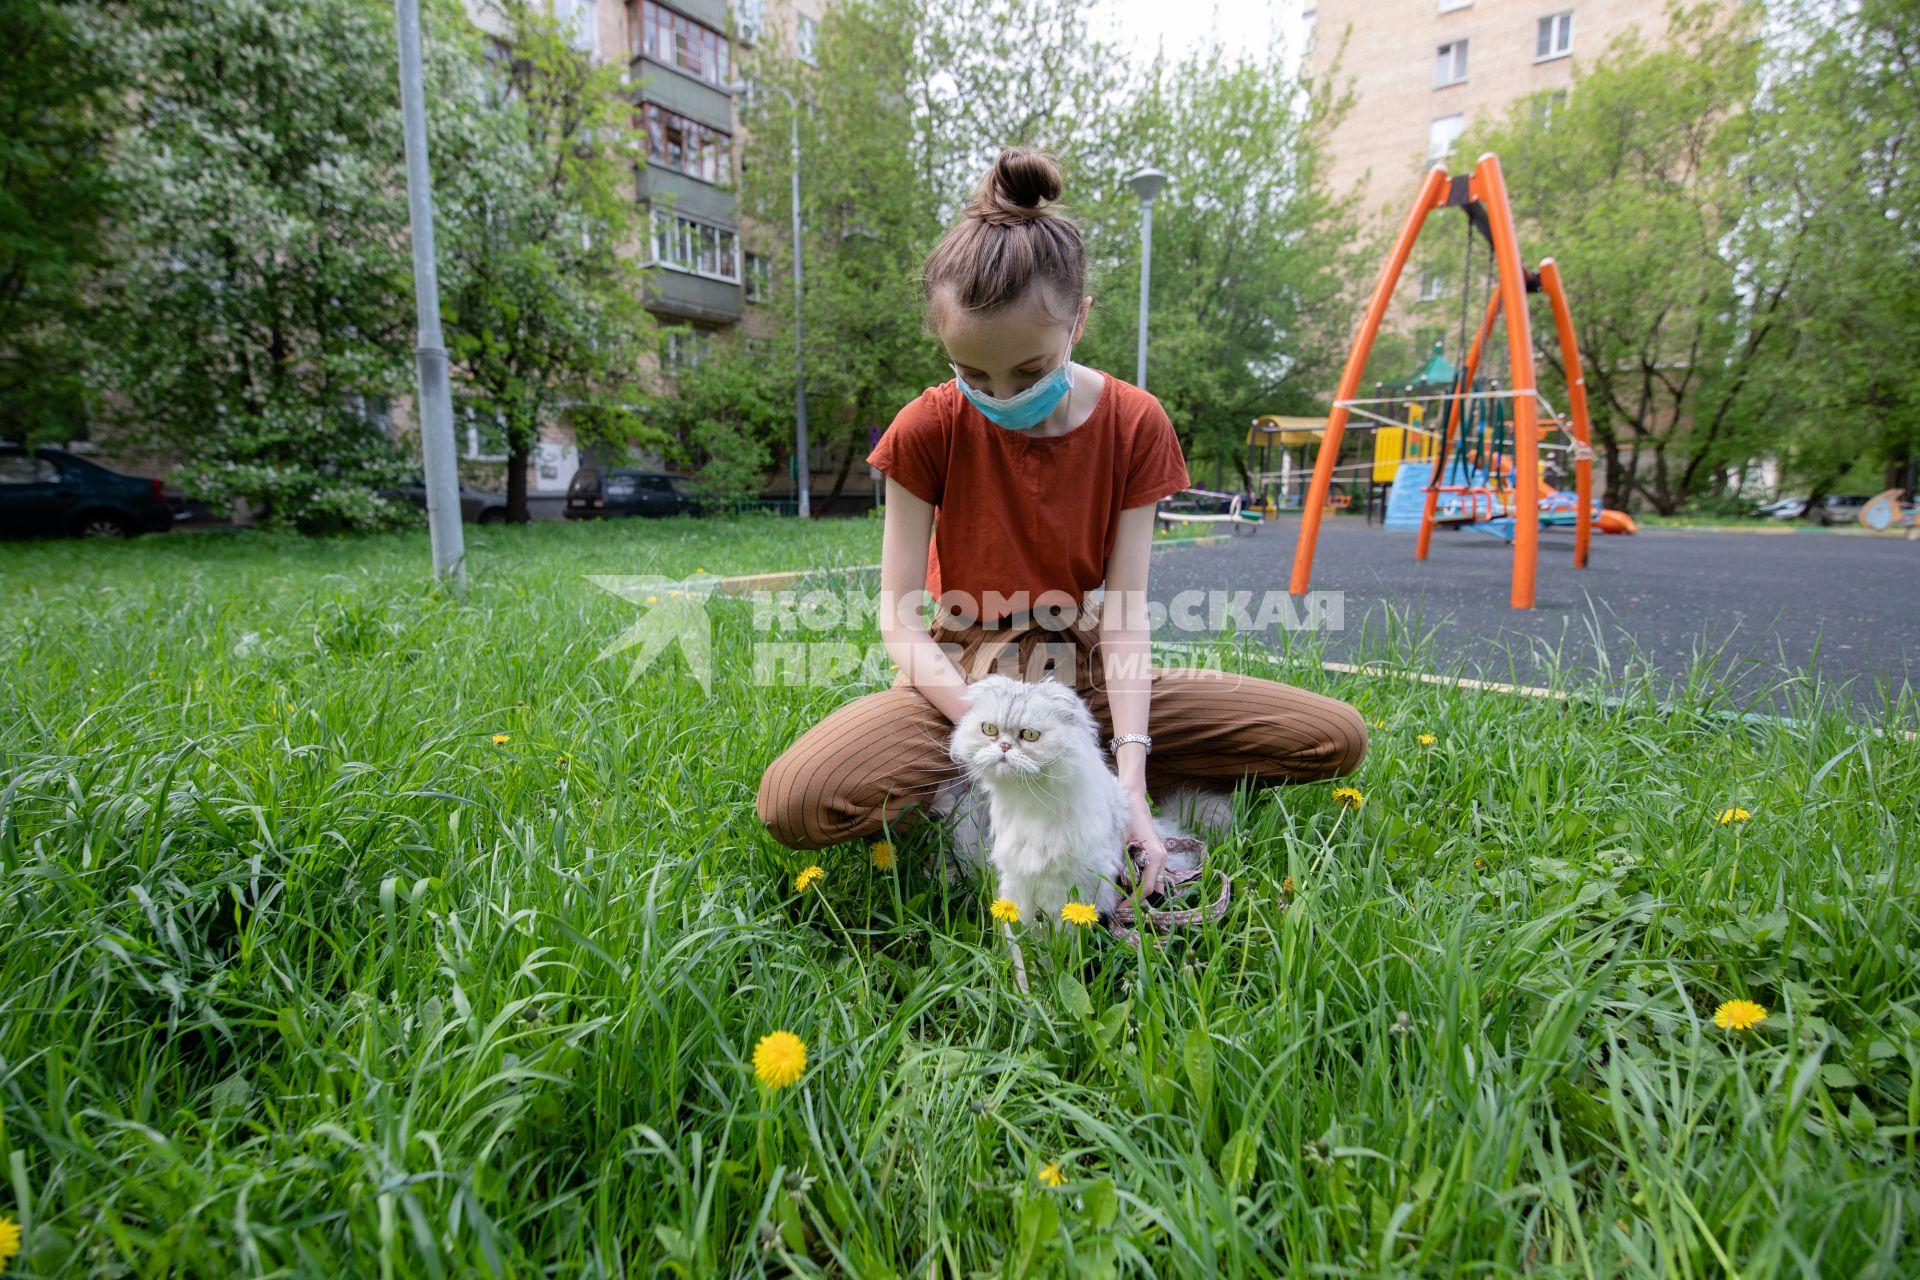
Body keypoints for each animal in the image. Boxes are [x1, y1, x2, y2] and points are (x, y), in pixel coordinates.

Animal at [936, 675, 1236, 936]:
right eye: (989, 729)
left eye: (1030, 735)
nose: (1005, 746)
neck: (1028, 801)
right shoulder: (1015, 878)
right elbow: (1018, 936)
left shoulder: (1072, 882)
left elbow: (1062, 936)